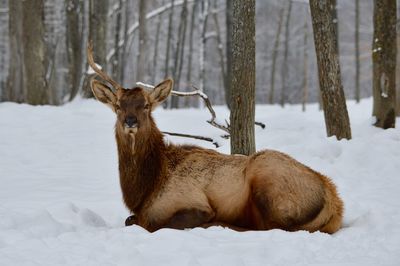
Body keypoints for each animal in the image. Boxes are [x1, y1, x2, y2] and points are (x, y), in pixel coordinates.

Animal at [87, 44, 344, 234]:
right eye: (118, 106)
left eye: (146, 105)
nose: (130, 121)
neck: (145, 189)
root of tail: (335, 202)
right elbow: (131, 219)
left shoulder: (195, 204)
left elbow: (151, 224)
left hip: (267, 177)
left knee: (271, 227)